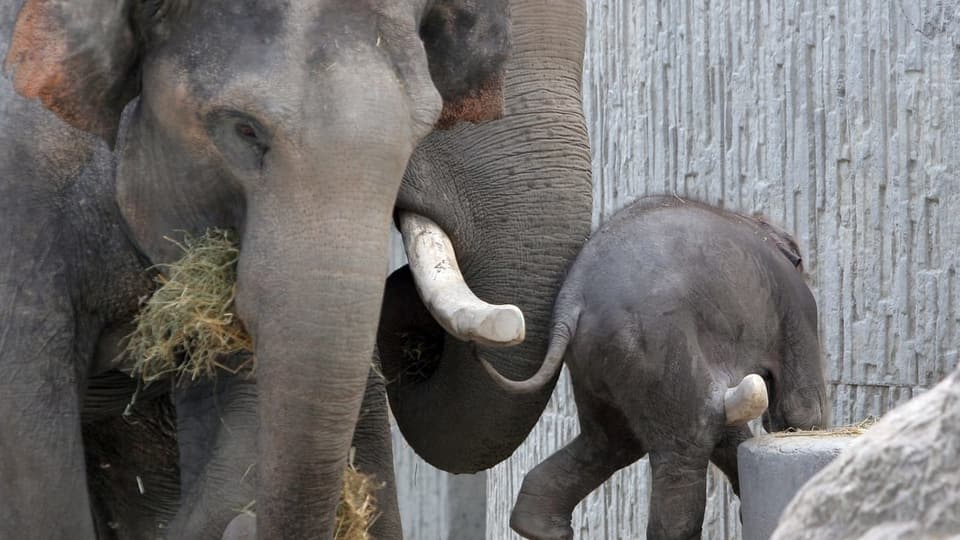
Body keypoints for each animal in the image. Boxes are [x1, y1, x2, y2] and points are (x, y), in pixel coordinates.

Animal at [484, 195, 828, 540]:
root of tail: (572, 299)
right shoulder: (795, 306)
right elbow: (801, 412)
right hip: (653, 342)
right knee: (690, 437)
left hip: (600, 361)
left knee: (614, 441)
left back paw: (538, 527)